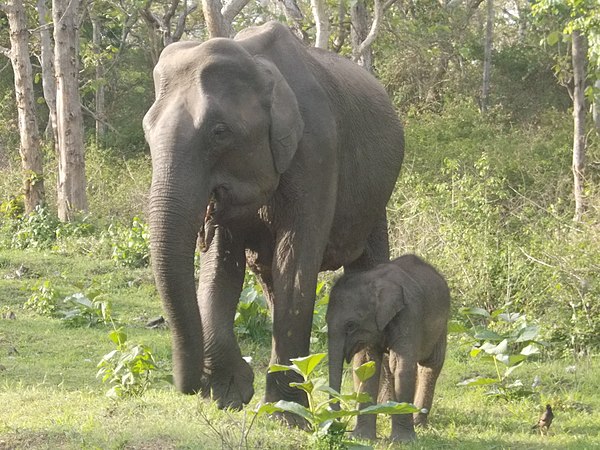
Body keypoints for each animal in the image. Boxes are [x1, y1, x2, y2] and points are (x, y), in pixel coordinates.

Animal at [142, 20, 404, 408]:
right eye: (147, 131)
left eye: (219, 132)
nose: (192, 386)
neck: (257, 62)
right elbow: (221, 267)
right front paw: (230, 394)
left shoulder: (318, 152)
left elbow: (294, 266)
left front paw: (285, 411)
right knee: (266, 276)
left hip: (375, 199)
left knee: (367, 267)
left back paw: (378, 404)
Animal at [326, 255, 448, 442]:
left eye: (351, 325)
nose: (336, 424)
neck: (372, 279)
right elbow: (367, 365)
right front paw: (361, 438)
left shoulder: (409, 314)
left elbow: (401, 367)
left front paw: (403, 441)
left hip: (442, 325)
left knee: (430, 364)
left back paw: (417, 421)